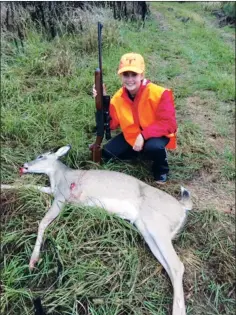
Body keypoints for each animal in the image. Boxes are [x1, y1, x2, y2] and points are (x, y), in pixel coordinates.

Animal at [1, 146, 192, 315]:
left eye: (41, 156)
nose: (25, 165)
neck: (60, 177)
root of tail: (183, 208)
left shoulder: (62, 197)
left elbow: (43, 222)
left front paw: (33, 260)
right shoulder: (53, 191)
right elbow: (31, 188)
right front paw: (3, 186)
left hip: (157, 226)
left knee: (177, 265)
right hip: (147, 230)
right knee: (170, 266)